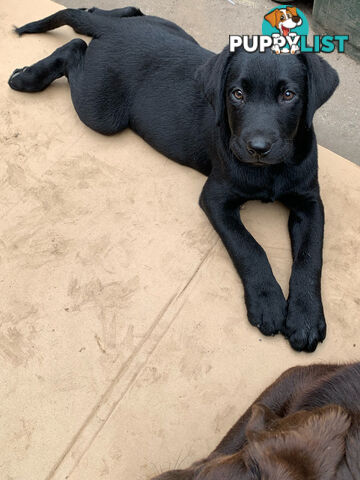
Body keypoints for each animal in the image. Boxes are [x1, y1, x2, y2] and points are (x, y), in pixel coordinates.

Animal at [9, 6, 340, 352]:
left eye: (289, 95)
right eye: (237, 94)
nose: (258, 147)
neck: (270, 171)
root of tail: (114, 31)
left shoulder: (310, 202)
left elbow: (310, 256)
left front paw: (305, 318)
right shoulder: (216, 198)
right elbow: (249, 246)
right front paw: (268, 302)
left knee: (120, 13)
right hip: (101, 110)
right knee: (74, 47)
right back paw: (28, 77)